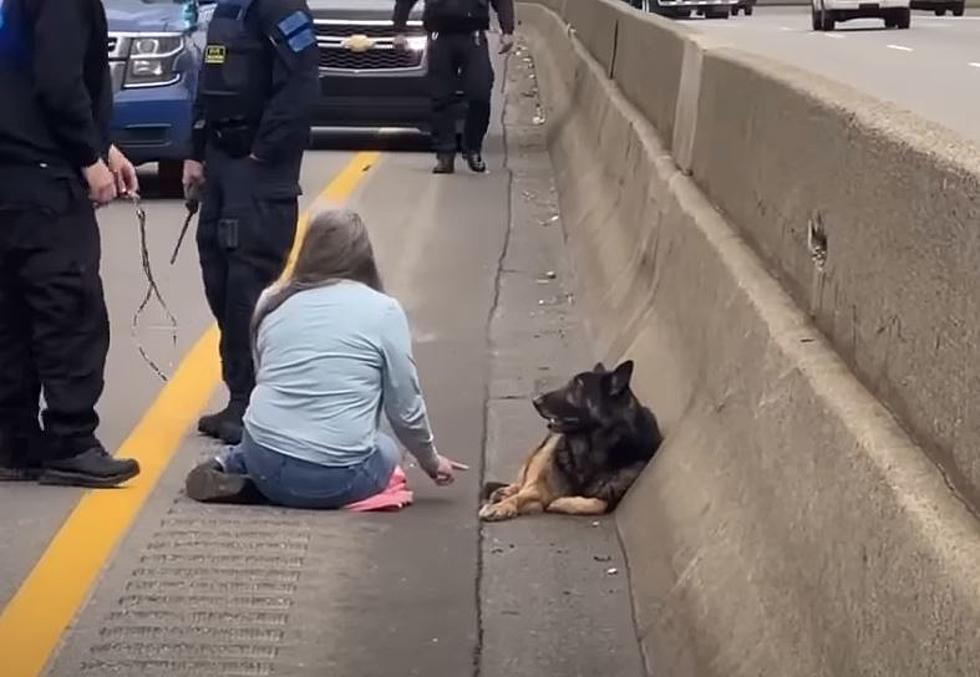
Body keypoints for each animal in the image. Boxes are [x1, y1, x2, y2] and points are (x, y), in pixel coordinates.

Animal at [478, 362, 664, 520]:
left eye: (577, 387)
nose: (535, 401)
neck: (590, 451)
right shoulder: (539, 487)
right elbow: (525, 493)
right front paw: (502, 506)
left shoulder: (611, 496)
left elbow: (598, 503)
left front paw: (561, 503)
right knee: (522, 482)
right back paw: (505, 492)